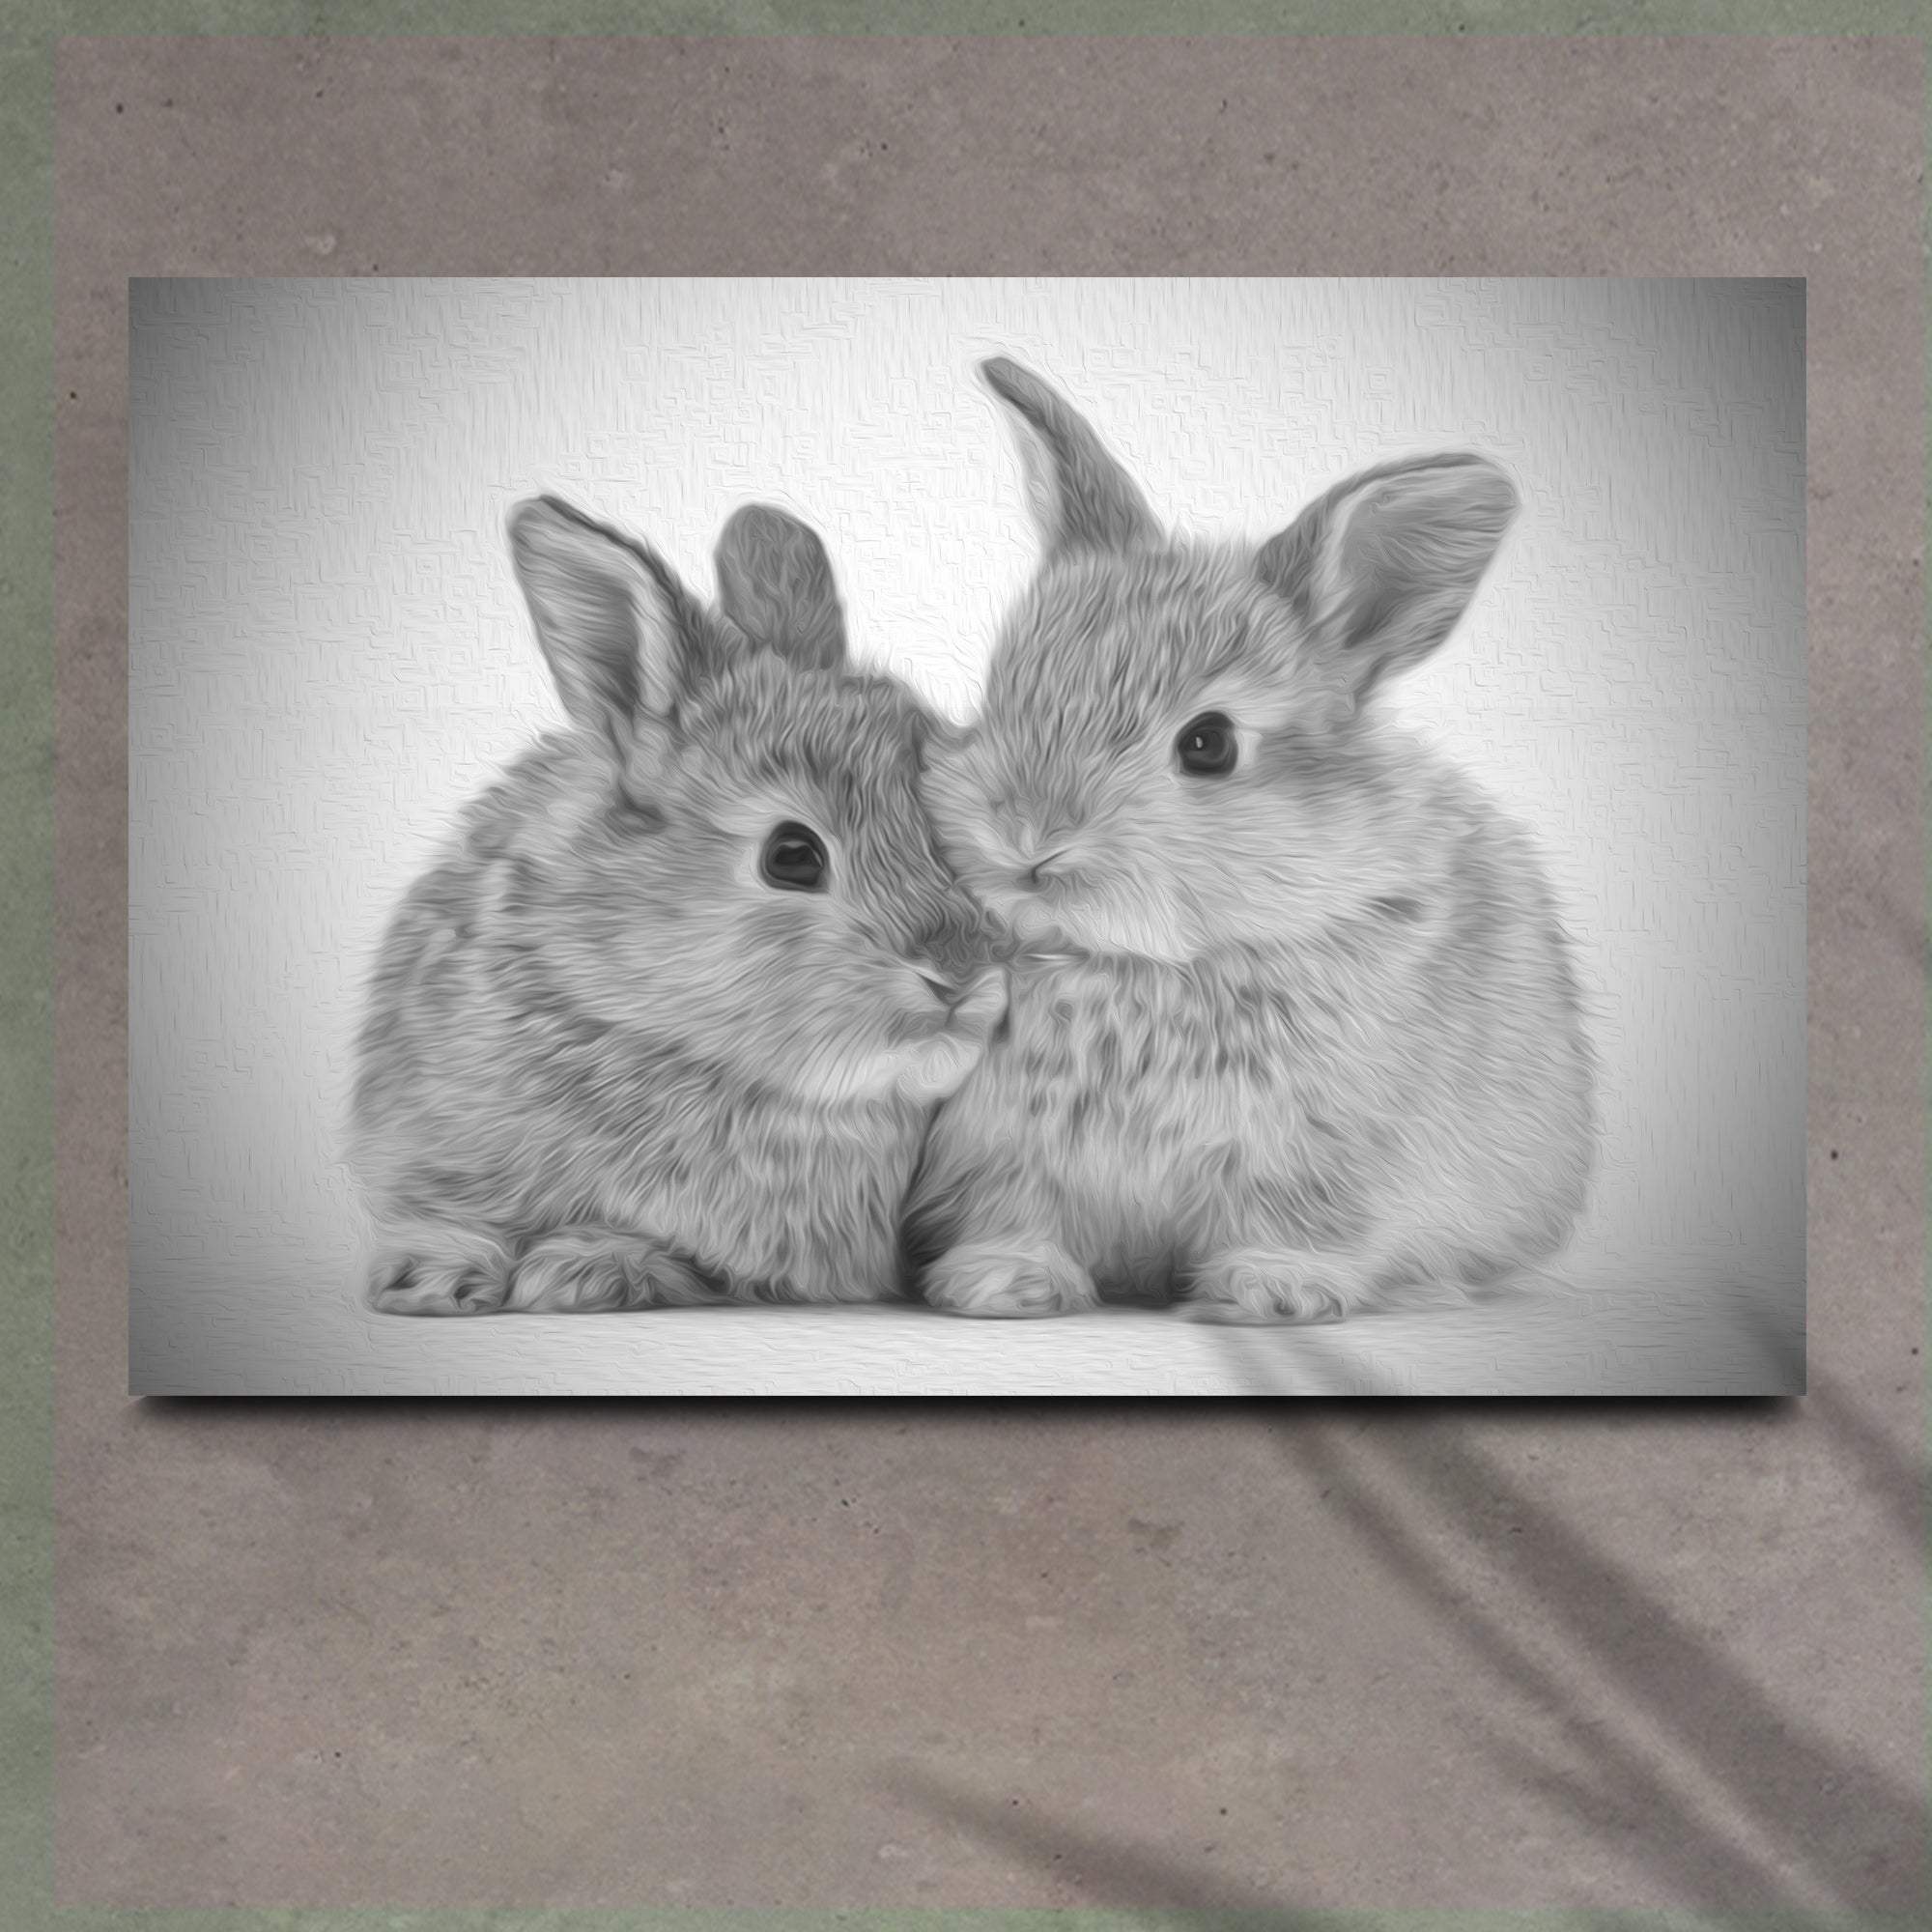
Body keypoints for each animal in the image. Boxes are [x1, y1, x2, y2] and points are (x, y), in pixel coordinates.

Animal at [348, 492, 1006, 1315]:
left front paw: (583, 1269)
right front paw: (429, 1278)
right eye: (792, 856)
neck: (666, 1039)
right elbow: (446, 1214)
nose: (964, 974)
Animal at [905, 357, 1597, 1324]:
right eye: (1003, 695)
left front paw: (1276, 1292)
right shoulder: (1002, 1153)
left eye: (1210, 744)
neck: (1141, 962)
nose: (1028, 835)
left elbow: (1297, 1222)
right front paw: (1004, 1283)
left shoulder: (1318, 1152)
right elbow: (1017, 1213)